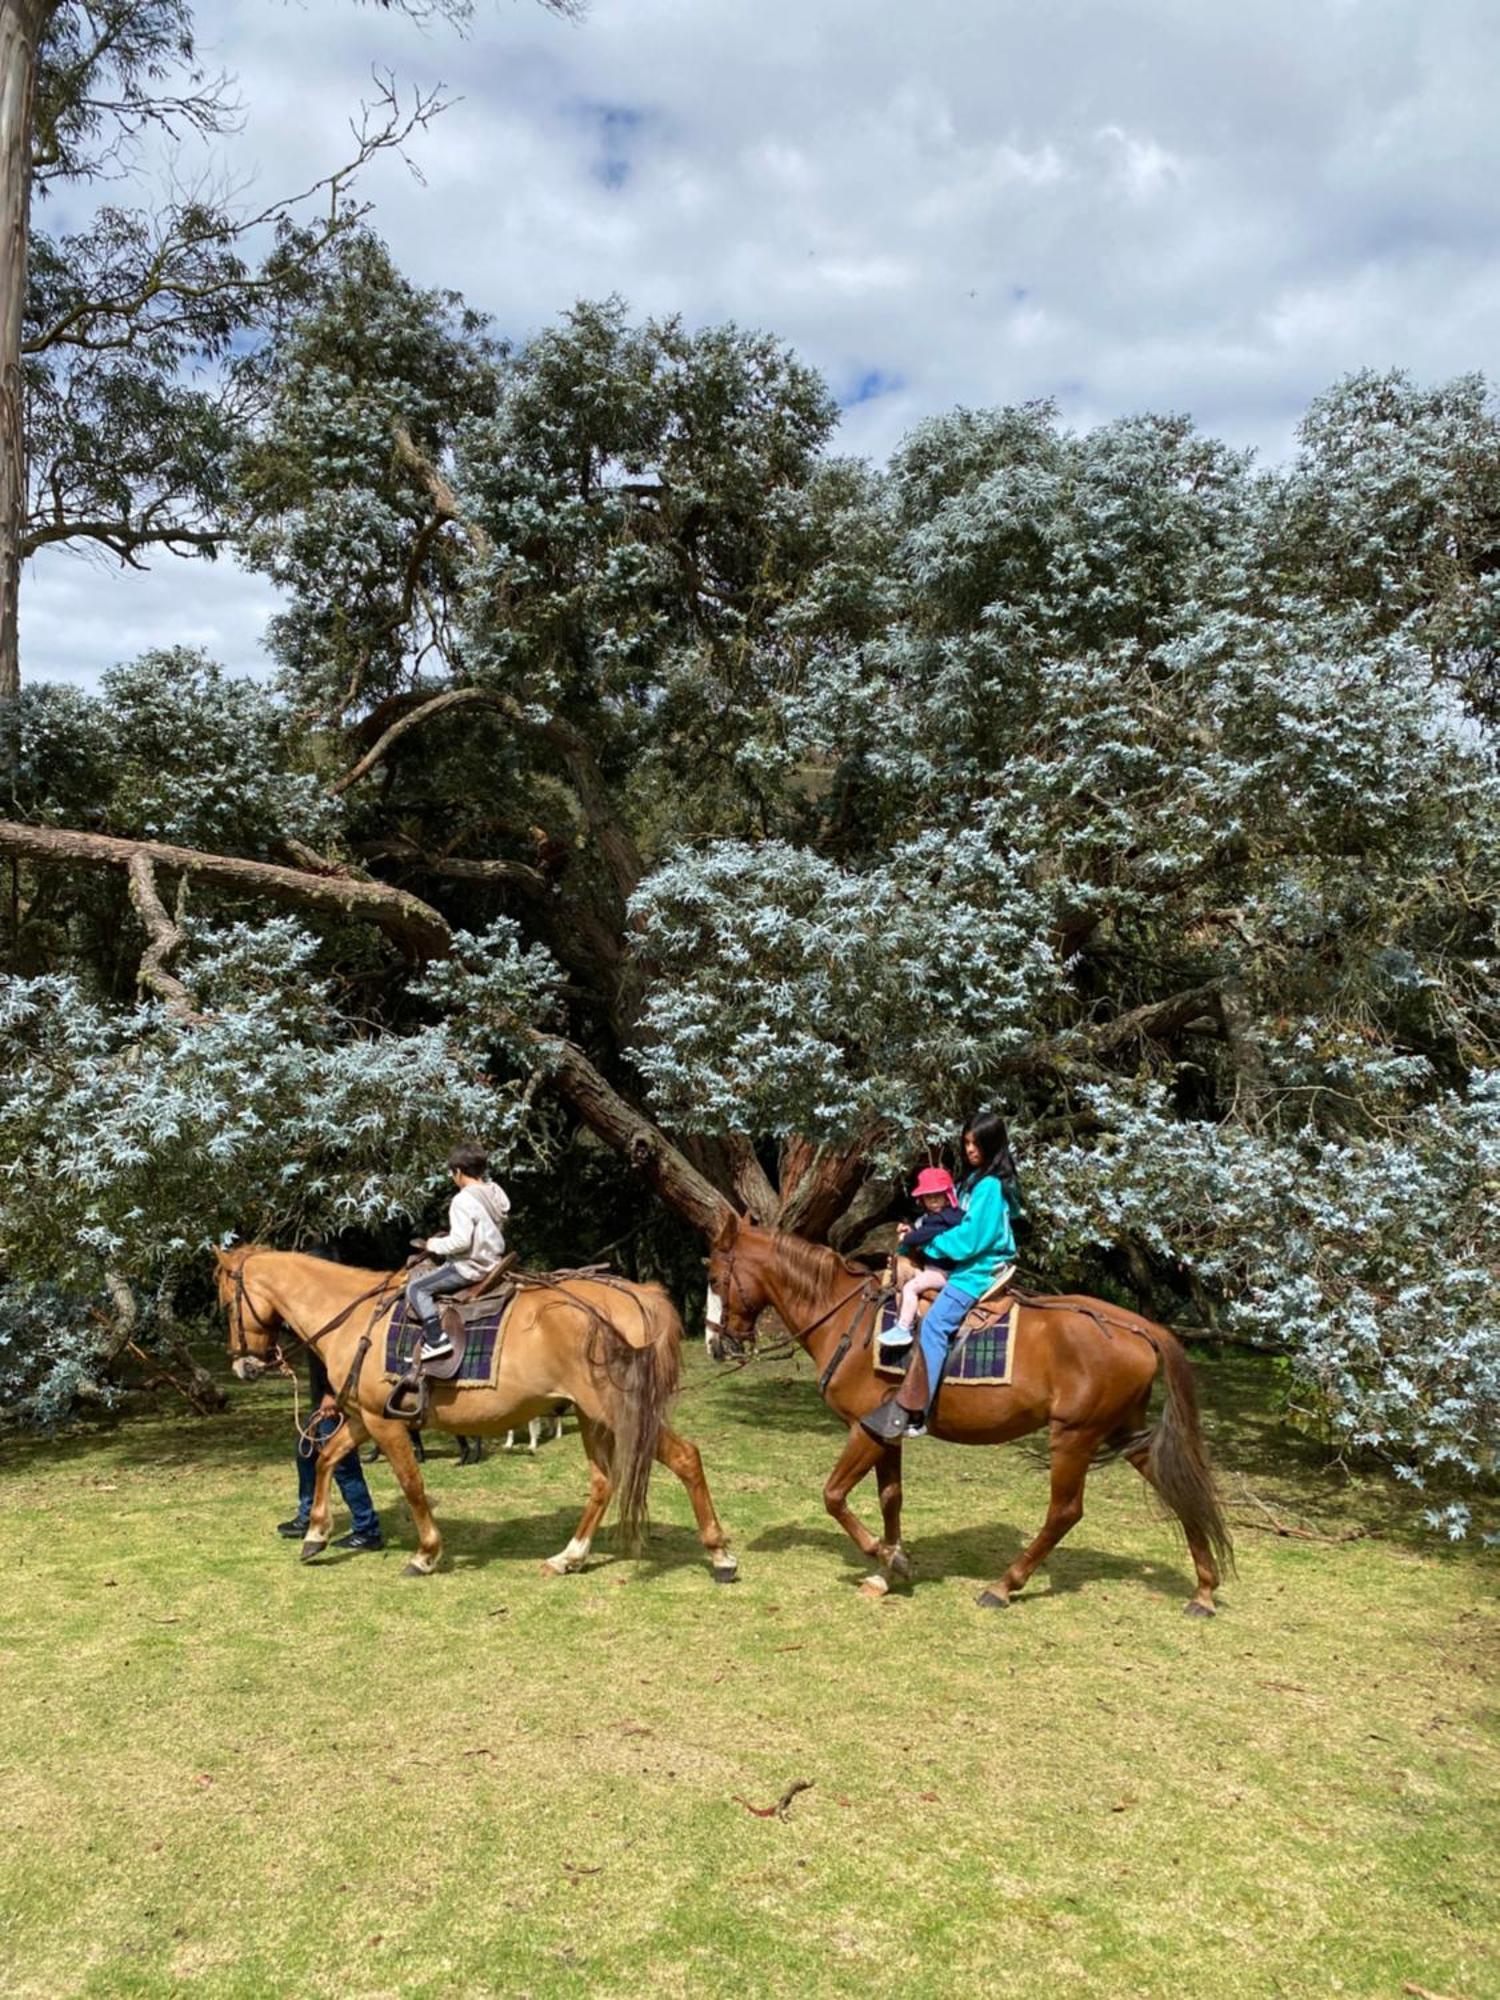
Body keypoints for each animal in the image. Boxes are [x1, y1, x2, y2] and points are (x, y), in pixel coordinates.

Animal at [217, 1240, 740, 1584]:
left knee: (686, 1459)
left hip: (619, 1410)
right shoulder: (365, 1418)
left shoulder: (386, 1423)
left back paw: (720, 1556)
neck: (355, 1315)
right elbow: (327, 1458)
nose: (242, 1364)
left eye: (226, 1303)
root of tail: (637, 1298)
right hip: (593, 1417)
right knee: (603, 1483)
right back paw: (569, 1556)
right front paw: (316, 1534)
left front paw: (426, 1554)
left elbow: (410, 1484)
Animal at [704, 1208, 1232, 1616]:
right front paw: (888, 1567)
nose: (713, 1343)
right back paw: (1204, 1589)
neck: (844, 1317)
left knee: (1065, 1512)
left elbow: (833, 1496)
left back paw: (1004, 1585)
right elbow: (891, 1498)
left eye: (713, 1278)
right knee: (1177, 1487)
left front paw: (884, 1555)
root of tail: (1136, 1326)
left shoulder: (864, 1430)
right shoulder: (887, 1432)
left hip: (1075, 1436)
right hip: (1123, 1432)